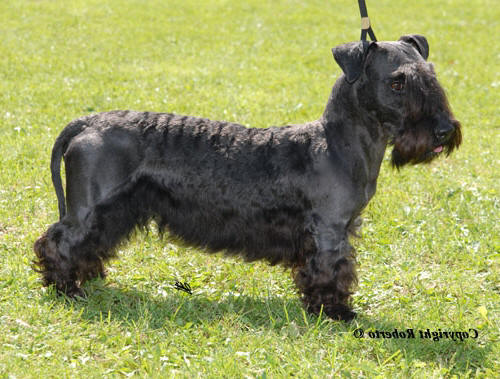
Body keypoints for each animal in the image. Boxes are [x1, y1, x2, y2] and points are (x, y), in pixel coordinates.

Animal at [34, 35, 460, 320]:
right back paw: (66, 288)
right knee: (57, 240)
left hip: (109, 211)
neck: (336, 143)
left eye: (430, 74)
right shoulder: (329, 229)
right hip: (90, 209)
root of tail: (88, 122)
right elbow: (330, 271)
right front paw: (334, 312)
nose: (443, 131)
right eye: (398, 81)